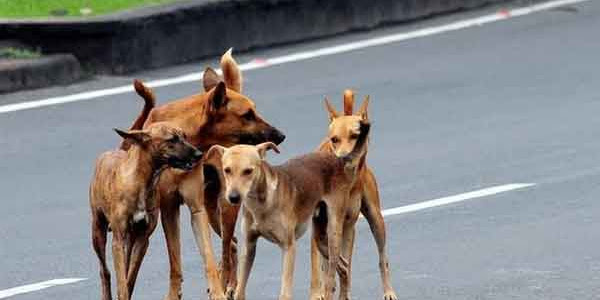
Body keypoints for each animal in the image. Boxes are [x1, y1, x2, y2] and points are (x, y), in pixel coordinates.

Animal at [89, 122, 202, 300]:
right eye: (172, 139)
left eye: (184, 136)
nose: (199, 154)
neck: (142, 181)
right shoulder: (118, 241)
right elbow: (121, 278)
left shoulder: (143, 240)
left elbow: (130, 276)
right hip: (98, 233)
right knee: (104, 271)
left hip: (130, 240)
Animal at [120, 49, 284, 300]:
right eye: (248, 115)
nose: (281, 135)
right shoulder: (169, 209)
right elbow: (175, 260)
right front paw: (173, 293)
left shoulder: (196, 209)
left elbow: (208, 256)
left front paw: (218, 289)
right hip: (212, 209)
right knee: (231, 243)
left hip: (224, 206)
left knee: (227, 246)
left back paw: (228, 284)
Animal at [206, 119, 370, 300]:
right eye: (226, 170)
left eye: (248, 171)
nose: (233, 197)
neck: (263, 202)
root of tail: (339, 160)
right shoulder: (249, 246)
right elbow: (240, 289)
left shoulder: (288, 248)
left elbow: (285, 293)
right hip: (321, 238)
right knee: (344, 266)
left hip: (333, 234)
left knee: (330, 279)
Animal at [310, 91, 398, 300]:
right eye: (334, 139)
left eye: (355, 137)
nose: (343, 158)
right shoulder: (319, 227)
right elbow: (324, 261)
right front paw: (321, 291)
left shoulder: (346, 225)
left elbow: (342, 265)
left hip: (375, 220)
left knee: (382, 258)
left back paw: (387, 290)